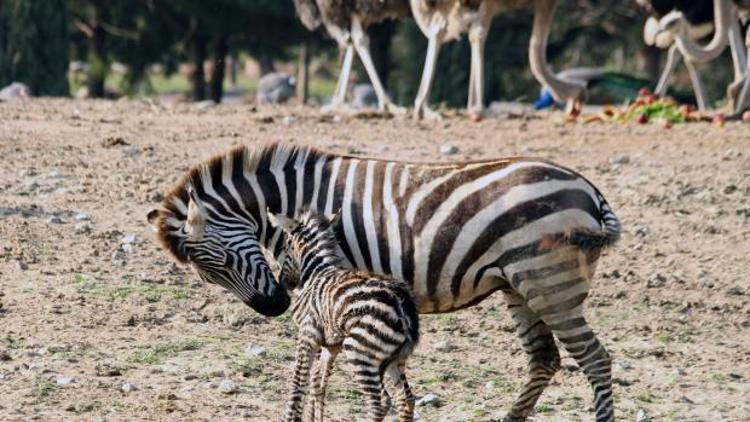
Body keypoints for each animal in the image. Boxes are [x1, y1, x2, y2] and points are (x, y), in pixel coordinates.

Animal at [270, 211, 424, 422]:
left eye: (285, 246)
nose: (284, 284)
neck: (316, 271)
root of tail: (404, 304)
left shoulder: (307, 333)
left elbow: (298, 383)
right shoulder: (331, 345)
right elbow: (318, 384)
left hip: (359, 350)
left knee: (379, 403)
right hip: (395, 359)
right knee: (405, 400)